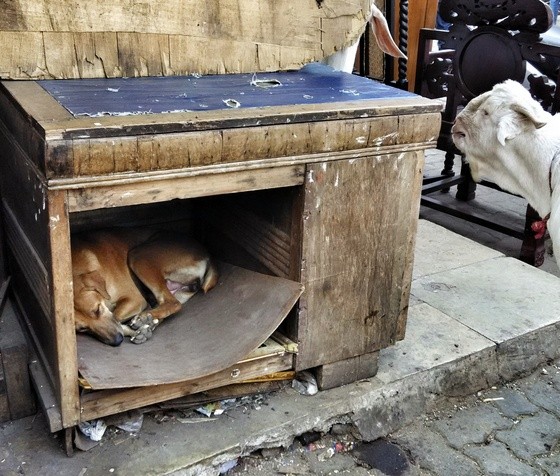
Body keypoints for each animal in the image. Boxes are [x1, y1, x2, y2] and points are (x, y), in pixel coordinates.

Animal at [70, 228, 219, 346]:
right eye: (82, 329)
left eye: (97, 310)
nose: (117, 341)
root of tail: (207, 253)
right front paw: (136, 330)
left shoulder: (135, 299)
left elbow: (116, 316)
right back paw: (148, 321)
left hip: (139, 256)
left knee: (172, 303)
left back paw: (145, 318)